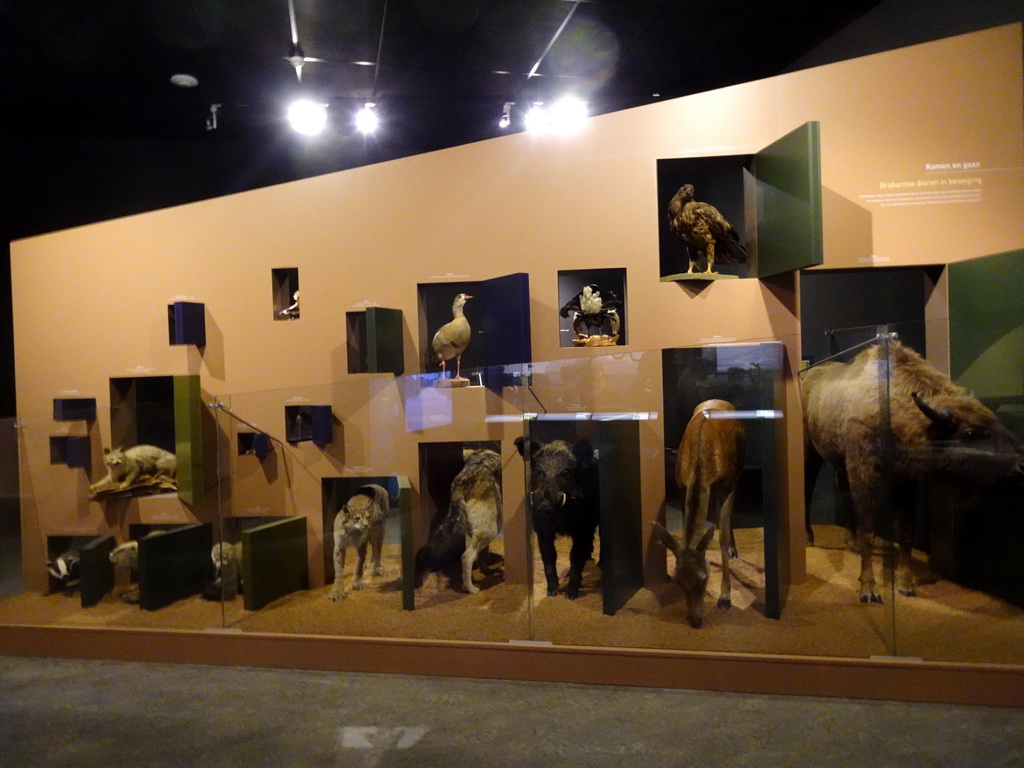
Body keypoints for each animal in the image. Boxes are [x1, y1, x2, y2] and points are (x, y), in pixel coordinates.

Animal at [415, 448, 503, 598]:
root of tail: (460, 488)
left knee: (475, 554)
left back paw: (475, 577)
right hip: (492, 529)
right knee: (467, 556)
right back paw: (471, 588)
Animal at [516, 436, 598, 598]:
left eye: (566, 472)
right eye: (539, 470)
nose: (545, 506)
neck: (560, 521)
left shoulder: (583, 529)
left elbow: (575, 555)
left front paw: (570, 595)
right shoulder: (541, 528)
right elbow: (548, 555)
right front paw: (552, 592)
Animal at [655, 399, 745, 626]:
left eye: (704, 579)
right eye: (677, 580)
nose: (695, 620)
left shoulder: (727, 486)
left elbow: (722, 537)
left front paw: (725, 598)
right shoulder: (681, 485)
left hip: (738, 472)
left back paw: (733, 550)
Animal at [802, 339, 1019, 606]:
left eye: (994, 420)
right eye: (969, 432)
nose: (1020, 464)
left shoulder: (905, 481)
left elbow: (905, 532)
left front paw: (905, 584)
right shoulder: (865, 473)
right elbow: (868, 530)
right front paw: (868, 589)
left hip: (840, 464)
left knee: (843, 494)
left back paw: (850, 541)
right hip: (811, 453)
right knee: (808, 489)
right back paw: (808, 538)